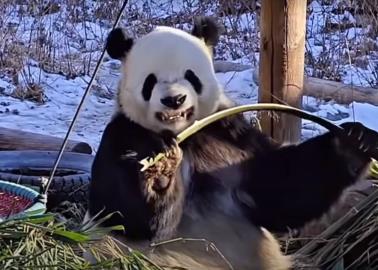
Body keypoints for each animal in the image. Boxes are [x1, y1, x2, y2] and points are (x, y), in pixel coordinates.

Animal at [87, 16, 378, 270]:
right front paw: (160, 172)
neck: (185, 135)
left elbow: (282, 188)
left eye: (190, 76)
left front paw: (353, 143)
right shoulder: (123, 132)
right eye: (151, 81)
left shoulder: (229, 135)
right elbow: (123, 217)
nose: (174, 100)